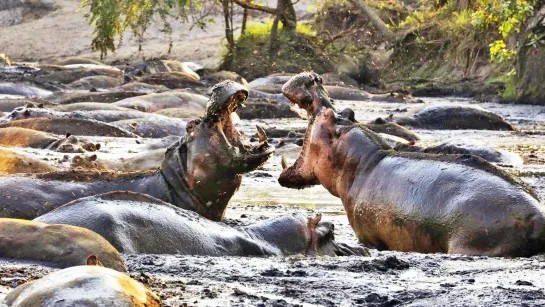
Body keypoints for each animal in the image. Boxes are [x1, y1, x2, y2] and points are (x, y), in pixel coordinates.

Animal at [276, 72, 544, 258]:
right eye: (348, 111)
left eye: (327, 115)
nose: (314, 79)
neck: (365, 161)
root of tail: (538, 218)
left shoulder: (367, 237)